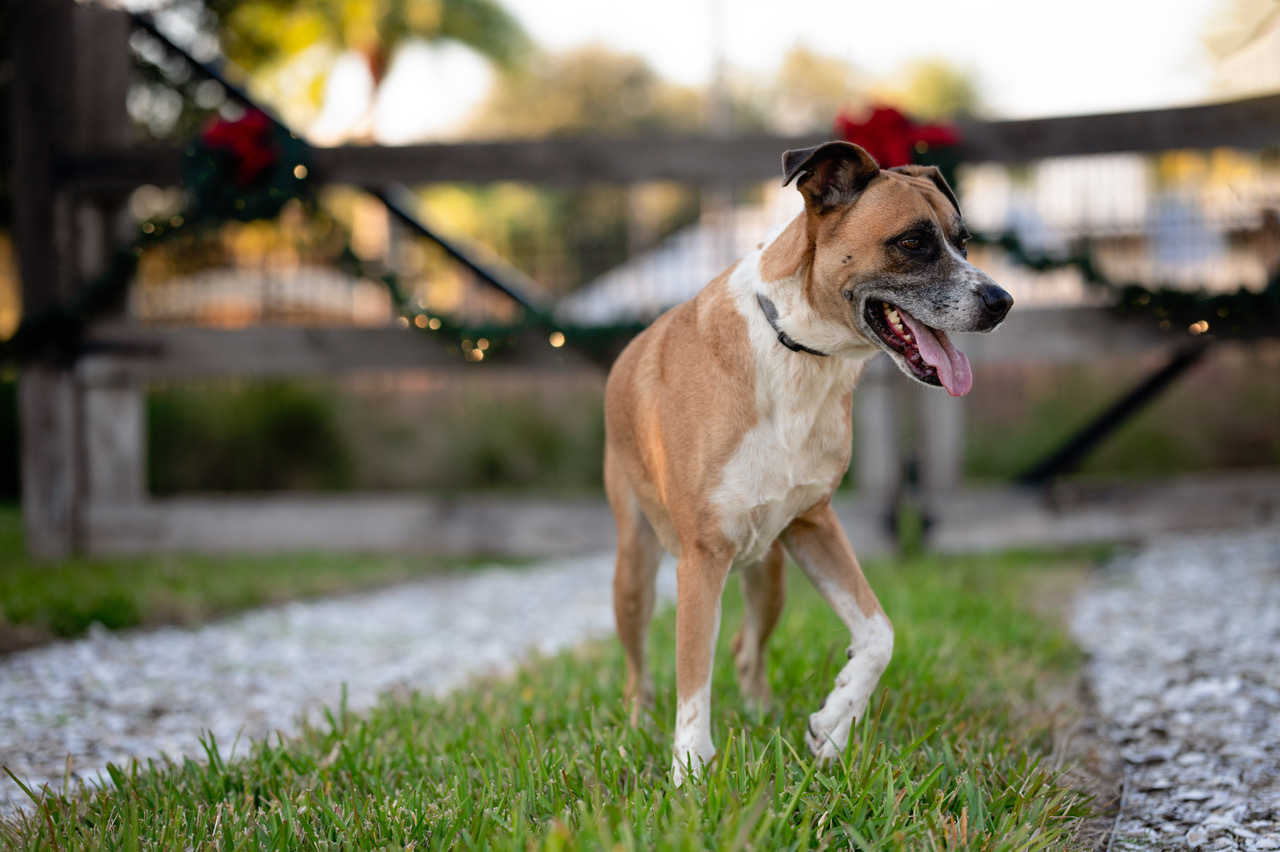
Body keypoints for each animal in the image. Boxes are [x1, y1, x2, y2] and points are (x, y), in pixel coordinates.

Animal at [604, 140, 1013, 782]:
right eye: (913, 242)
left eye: (963, 241)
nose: (1003, 302)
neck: (796, 351)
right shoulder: (701, 557)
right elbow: (692, 681)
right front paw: (691, 775)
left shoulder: (813, 523)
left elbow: (879, 633)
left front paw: (834, 723)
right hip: (635, 566)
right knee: (639, 671)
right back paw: (638, 727)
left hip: (769, 571)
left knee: (747, 650)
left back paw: (762, 715)